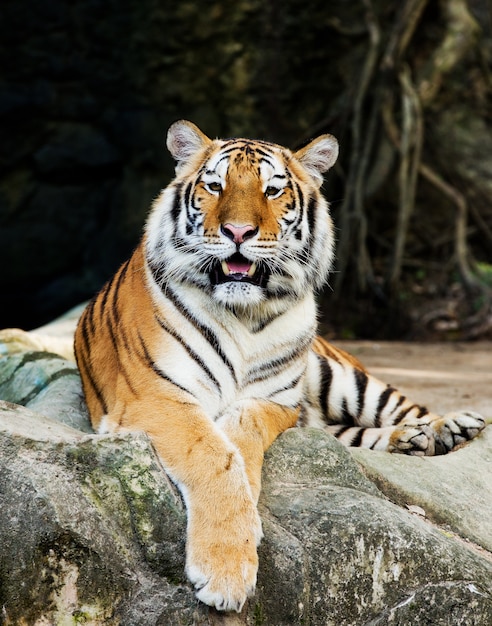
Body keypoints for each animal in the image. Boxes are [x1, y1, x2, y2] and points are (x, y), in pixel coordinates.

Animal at [73, 119, 484, 612]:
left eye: (272, 190)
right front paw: (228, 570)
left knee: (404, 408)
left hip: (342, 378)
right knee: (349, 435)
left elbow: (239, 436)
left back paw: (450, 427)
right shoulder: (155, 395)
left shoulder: (275, 399)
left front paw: (244, 512)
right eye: (215, 186)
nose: (237, 231)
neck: (242, 315)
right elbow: (213, 454)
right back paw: (416, 440)